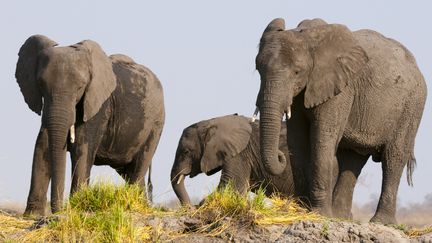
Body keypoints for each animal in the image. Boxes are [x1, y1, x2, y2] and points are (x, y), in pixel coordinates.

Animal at [14, 34, 164, 215]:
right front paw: (33, 215)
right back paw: (140, 205)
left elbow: (82, 148)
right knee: (129, 171)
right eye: (41, 84)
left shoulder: (98, 105)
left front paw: (76, 208)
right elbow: (42, 144)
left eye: (80, 87)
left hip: (156, 123)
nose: (58, 211)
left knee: (140, 164)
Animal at [169, 115, 310, 206]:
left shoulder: (240, 153)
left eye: (186, 152)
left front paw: (202, 204)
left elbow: (232, 187)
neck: (214, 122)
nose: (191, 207)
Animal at [255, 18, 426, 224]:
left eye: (297, 72)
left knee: (393, 157)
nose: (280, 156)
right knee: (352, 159)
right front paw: (302, 210)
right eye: (258, 69)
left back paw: (381, 222)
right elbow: (297, 142)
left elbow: (323, 139)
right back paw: (341, 217)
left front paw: (320, 214)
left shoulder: (341, 89)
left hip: (412, 105)